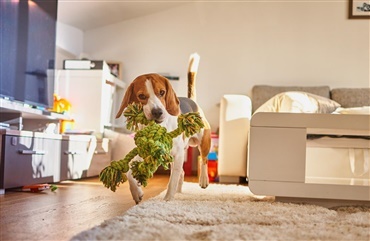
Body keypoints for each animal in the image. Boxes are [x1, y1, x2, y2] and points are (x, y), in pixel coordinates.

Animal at [115, 72, 211, 202]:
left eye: (162, 92)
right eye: (141, 96)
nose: (157, 112)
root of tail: (192, 101)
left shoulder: (178, 154)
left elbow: (172, 182)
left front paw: (167, 200)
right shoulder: (145, 152)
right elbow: (130, 174)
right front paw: (136, 193)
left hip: (203, 141)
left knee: (204, 160)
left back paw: (203, 180)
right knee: (181, 173)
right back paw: (179, 192)